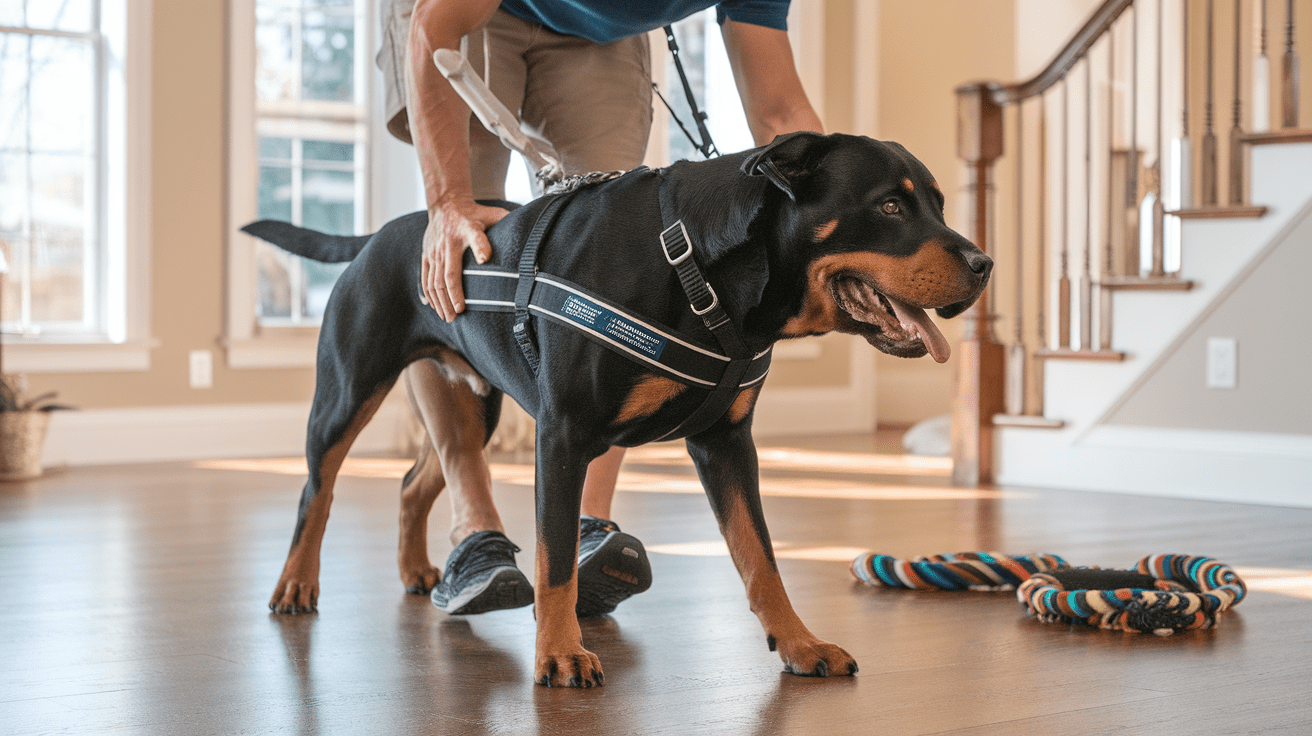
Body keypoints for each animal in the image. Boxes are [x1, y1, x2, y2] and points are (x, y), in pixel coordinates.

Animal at [246, 130, 986, 682]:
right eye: (889, 207)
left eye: (942, 205)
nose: (984, 264)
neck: (697, 269)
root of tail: (380, 234)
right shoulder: (562, 436)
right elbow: (555, 563)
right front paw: (559, 654)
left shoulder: (726, 443)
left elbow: (761, 557)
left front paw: (800, 644)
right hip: (347, 390)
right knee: (319, 489)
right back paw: (296, 584)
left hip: (473, 397)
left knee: (417, 478)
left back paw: (415, 570)